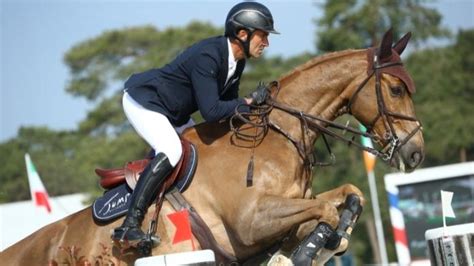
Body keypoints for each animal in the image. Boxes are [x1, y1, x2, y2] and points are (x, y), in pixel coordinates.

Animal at [0, 30, 422, 264]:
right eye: (396, 89)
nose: (415, 152)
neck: (276, 135)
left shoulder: (286, 208)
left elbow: (349, 195)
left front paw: (322, 240)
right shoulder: (251, 221)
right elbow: (326, 212)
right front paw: (316, 246)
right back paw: (132, 234)